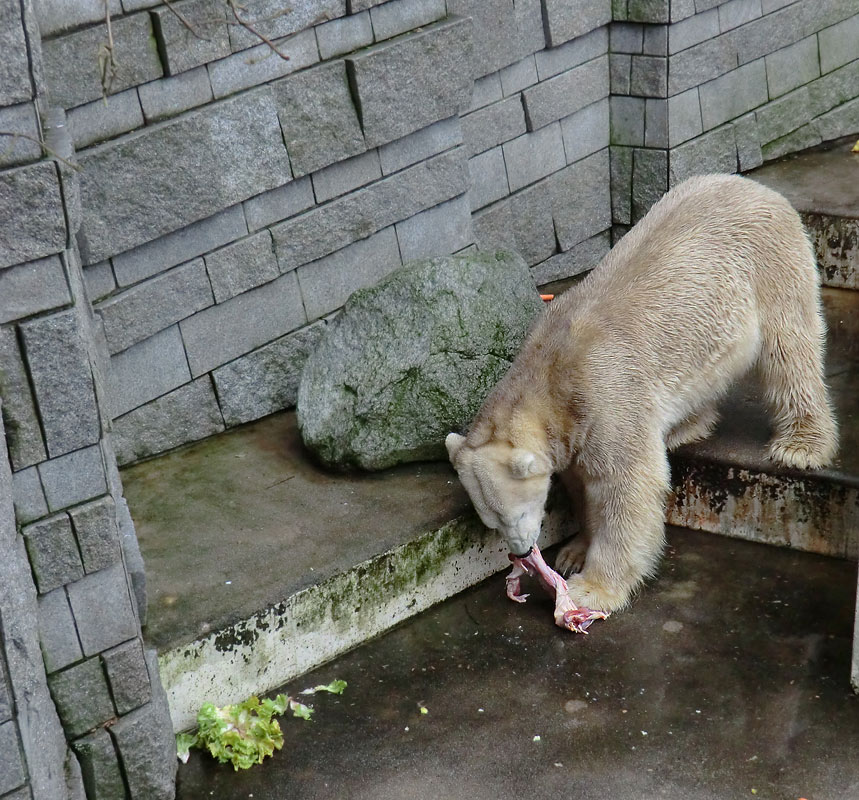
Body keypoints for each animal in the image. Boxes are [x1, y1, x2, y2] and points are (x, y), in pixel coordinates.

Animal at [446, 173, 836, 612]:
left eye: (514, 516)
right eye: (491, 522)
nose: (522, 551)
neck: (551, 369)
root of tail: (757, 187)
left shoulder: (605, 396)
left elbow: (625, 486)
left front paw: (590, 588)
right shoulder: (575, 424)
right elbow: (581, 483)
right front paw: (574, 551)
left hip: (769, 263)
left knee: (789, 350)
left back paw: (801, 444)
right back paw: (684, 428)